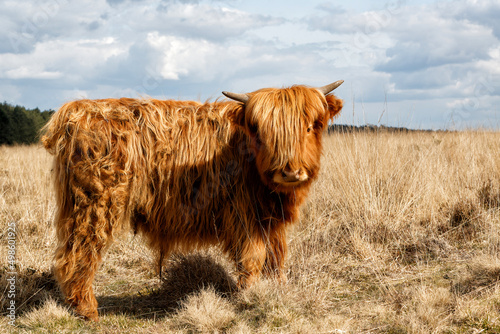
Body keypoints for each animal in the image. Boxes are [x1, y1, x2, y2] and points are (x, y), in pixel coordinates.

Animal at [43, 81, 344, 320]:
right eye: (262, 132)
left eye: (310, 127)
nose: (290, 171)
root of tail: (77, 111)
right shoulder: (244, 216)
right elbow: (253, 258)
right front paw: (248, 295)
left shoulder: (270, 219)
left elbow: (276, 256)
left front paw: (277, 289)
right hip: (94, 205)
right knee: (77, 254)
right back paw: (87, 310)